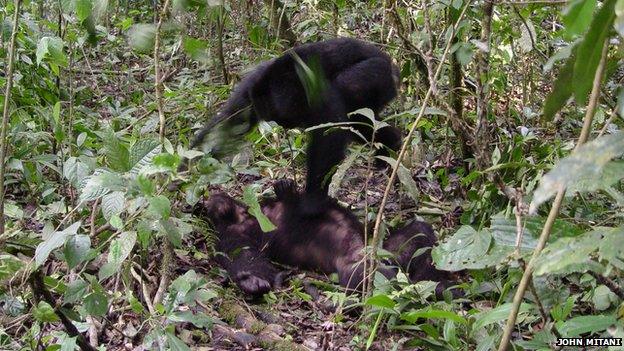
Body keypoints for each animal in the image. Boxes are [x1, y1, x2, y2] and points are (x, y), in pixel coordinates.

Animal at [193, 37, 402, 202]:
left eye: (281, 116)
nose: (286, 125)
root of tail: (391, 63)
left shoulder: (313, 91)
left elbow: (329, 138)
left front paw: (311, 200)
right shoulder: (249, 92)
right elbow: (232, 124)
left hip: (379, 73)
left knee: (349, 96)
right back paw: (390, 147)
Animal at [193, 180, 456, 298]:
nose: (212, 202)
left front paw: (286, 188)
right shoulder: (231, 235)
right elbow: (241, 254)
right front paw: (251, 280)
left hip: (387, 251)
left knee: (420, 231)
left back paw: (441, 284)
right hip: (361, 266)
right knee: (370, 277)